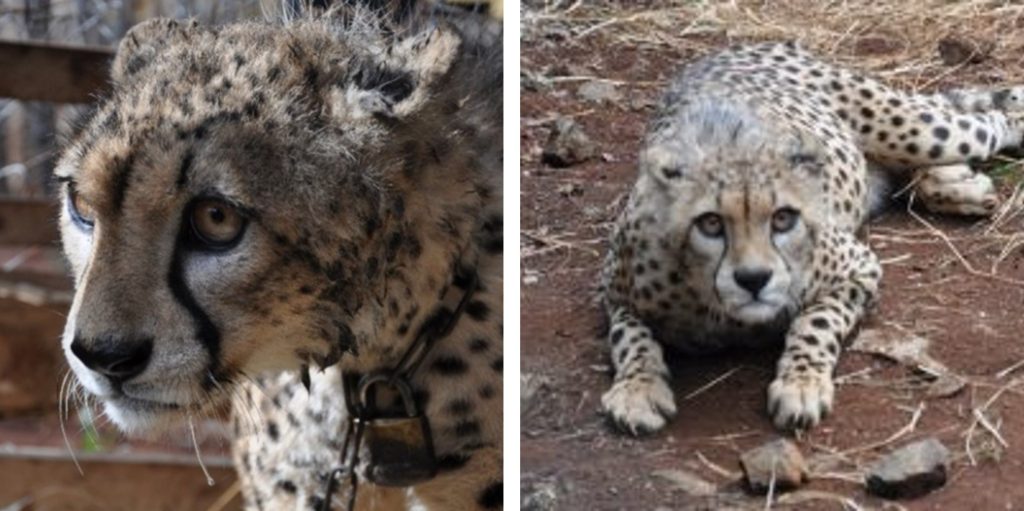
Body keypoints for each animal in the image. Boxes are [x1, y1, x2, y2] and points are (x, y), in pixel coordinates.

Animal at [598, 41, 1024, 436]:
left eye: (783, 219)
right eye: (711, 224)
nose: (753, 279)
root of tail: (726, 49)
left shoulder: (859, 269)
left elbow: (816, 321)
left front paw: (800, 384)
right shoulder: (613, 291)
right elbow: (629, 335)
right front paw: (637, 389)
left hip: (917, 130)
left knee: (988, 121)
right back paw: (955, 184)